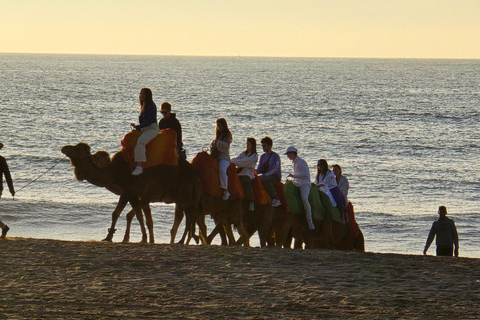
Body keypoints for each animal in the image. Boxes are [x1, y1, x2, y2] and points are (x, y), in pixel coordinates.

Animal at [61, 141, 202, 244]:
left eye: (77, 149)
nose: (63, 148)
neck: (114, 171)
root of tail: (194, 173)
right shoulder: (135, 194)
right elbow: (139, 215)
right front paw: (142, 239)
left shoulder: (127, 190)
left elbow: (117, 213)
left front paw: (110, 237)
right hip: (184, 198)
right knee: (187, 217)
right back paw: (182, 241)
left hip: (183, 196)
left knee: (186, 217)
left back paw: (181, 241)